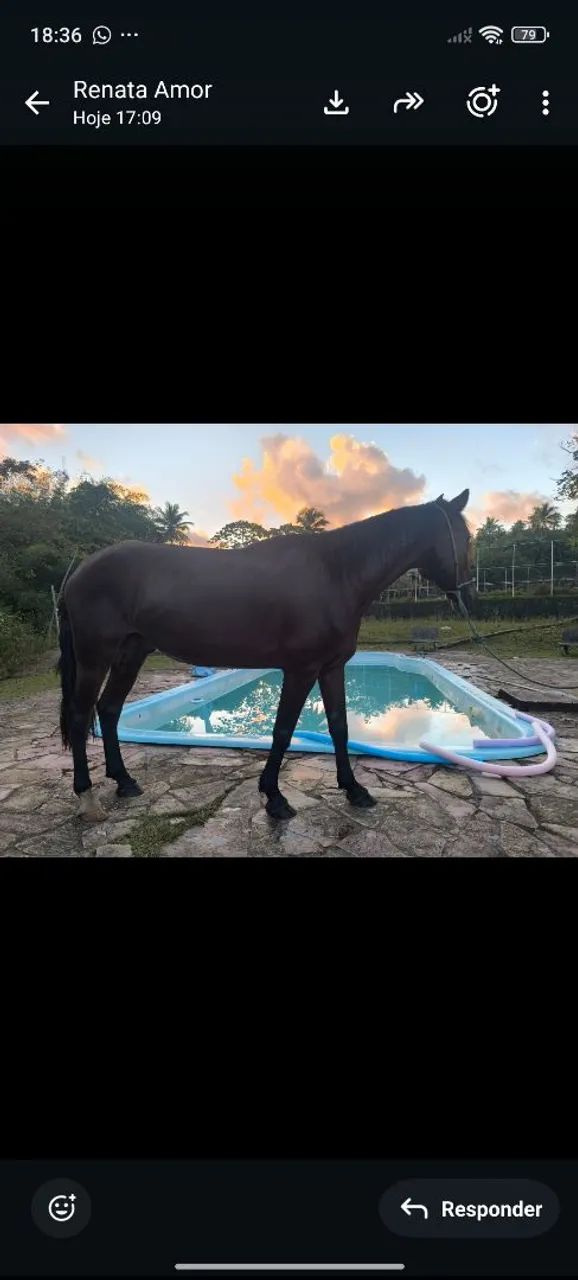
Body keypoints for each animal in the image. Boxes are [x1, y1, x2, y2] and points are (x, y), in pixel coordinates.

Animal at [57, 489, 472, 822]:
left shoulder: (331, 668)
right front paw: (275, 798)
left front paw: (354, 790)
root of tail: (78, 573)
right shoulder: (301, 670)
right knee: (80, 717)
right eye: (465, 537)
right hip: (95, 658)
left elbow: (339, 727)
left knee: (109, 710)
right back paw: (87, 798)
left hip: (131, 653)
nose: (467, 595)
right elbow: (283, 730)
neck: (335, 574)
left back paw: (124, 781)